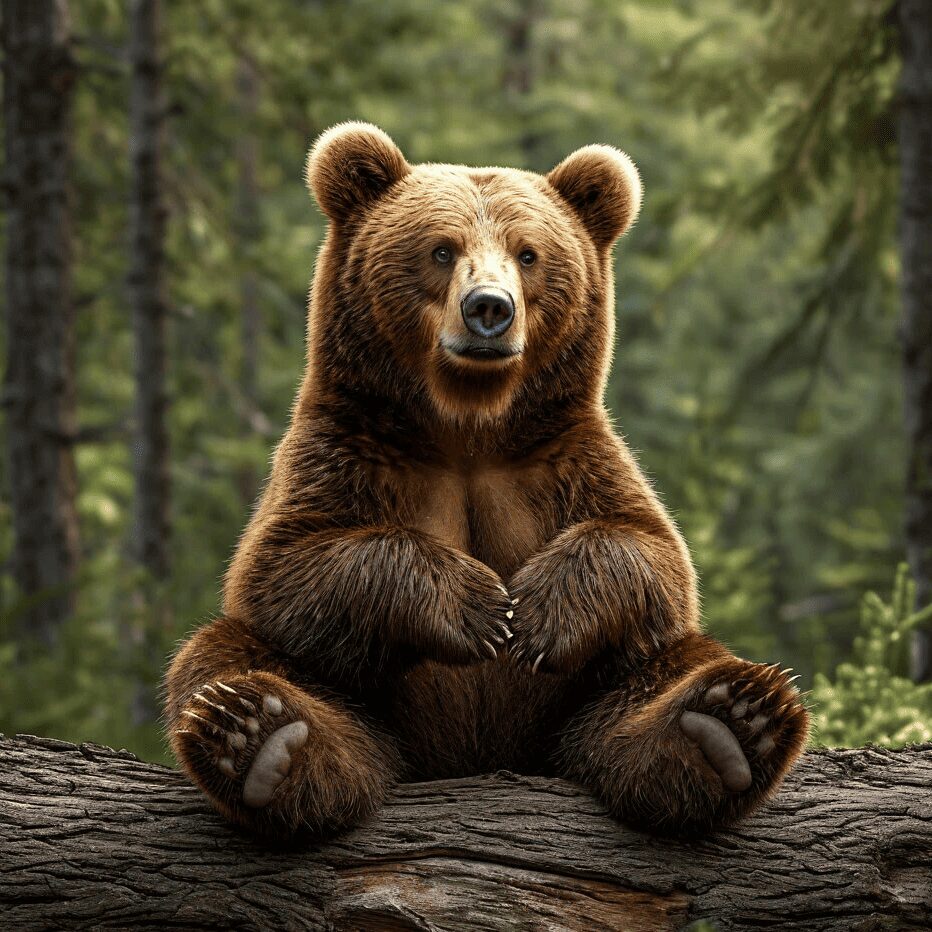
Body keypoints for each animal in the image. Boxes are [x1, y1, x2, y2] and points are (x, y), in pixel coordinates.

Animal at [165, 122, 809, 838]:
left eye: (528, 254)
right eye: (441, 249)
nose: (489, 310)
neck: (468, 427)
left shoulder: (561, 461)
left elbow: (651, 554)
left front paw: (534, 613)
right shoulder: (346, 454)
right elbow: (287, 565)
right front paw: (480, 608)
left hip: (580, 703)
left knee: (670, 669)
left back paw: (730, 721)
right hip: (364, 703)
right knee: (226, 656)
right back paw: (258, 734)